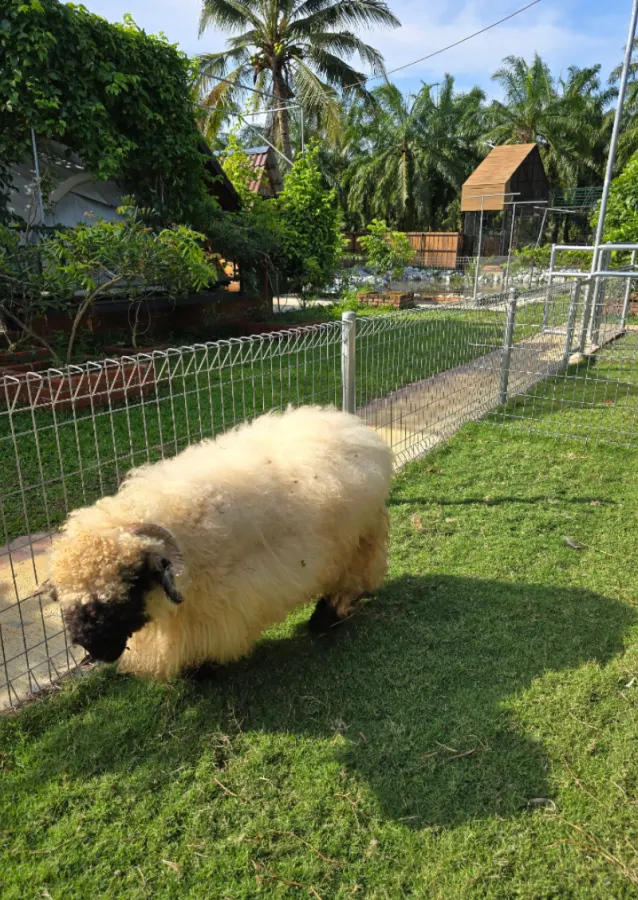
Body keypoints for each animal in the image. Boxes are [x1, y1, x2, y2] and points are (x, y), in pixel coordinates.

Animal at [45, 405, 392, 680]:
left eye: (132, 580)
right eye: (64, 596)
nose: (95, 648)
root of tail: (349, 423)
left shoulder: (224, 599)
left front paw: (202, 669)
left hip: (358, 536)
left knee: (352, 577)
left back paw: (326, 618)